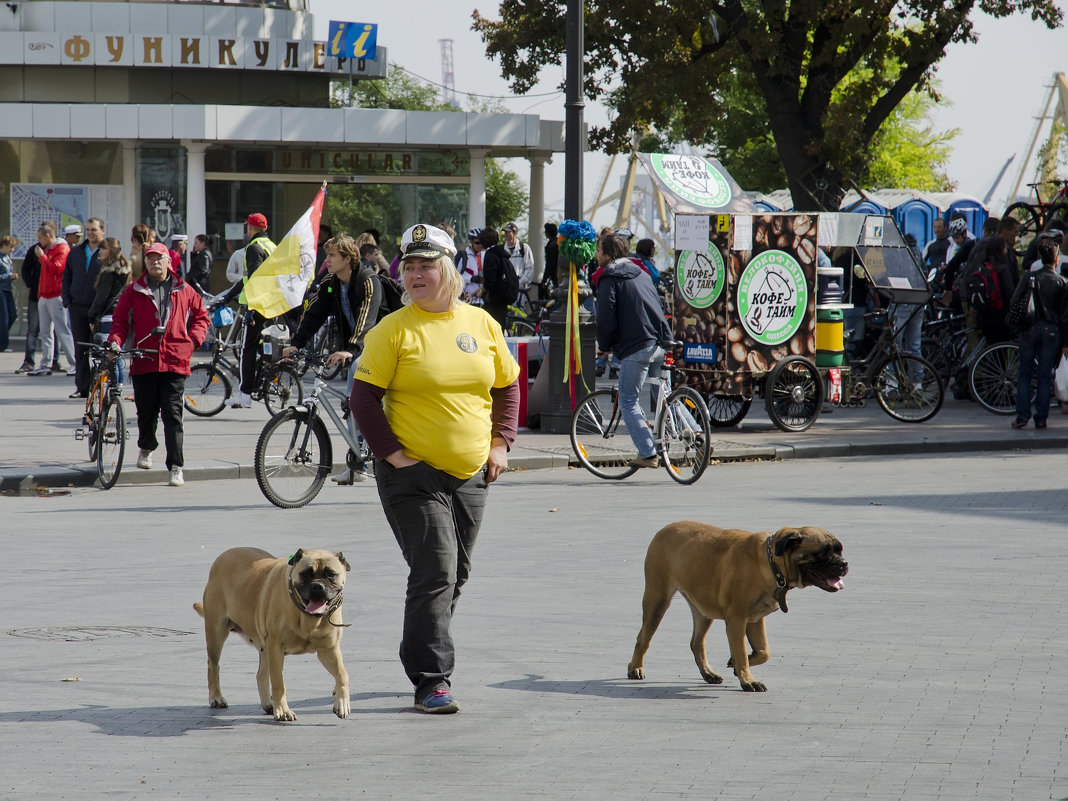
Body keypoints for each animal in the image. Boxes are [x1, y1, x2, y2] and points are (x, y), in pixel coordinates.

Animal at [194, 551, 352, 726]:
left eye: (331, 574)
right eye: (305, 574)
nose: (317, 586)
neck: (307, 617)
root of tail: (223, 555)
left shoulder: (328, 650)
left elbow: (343, 674)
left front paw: (342, 703)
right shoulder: (276, 649)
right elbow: (278, 683)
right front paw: (283, 711)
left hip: (264, 647)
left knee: (260, 674)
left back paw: (268, 704)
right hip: (216, 634)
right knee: (213, 665)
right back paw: (216, 697)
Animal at [623, 523, 841, 692]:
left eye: (840, 551)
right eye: (823, 553)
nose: (844, 564)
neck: (770, 562)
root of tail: (664, 529)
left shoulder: (755, 620)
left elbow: (763, 651)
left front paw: (737, 665)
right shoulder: (737, 621)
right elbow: (741, 651)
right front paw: (748, 680)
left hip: (703, 611)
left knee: (696, 643)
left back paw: (708, 673)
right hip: (657, 600)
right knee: (643, 638)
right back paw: (635, 668)